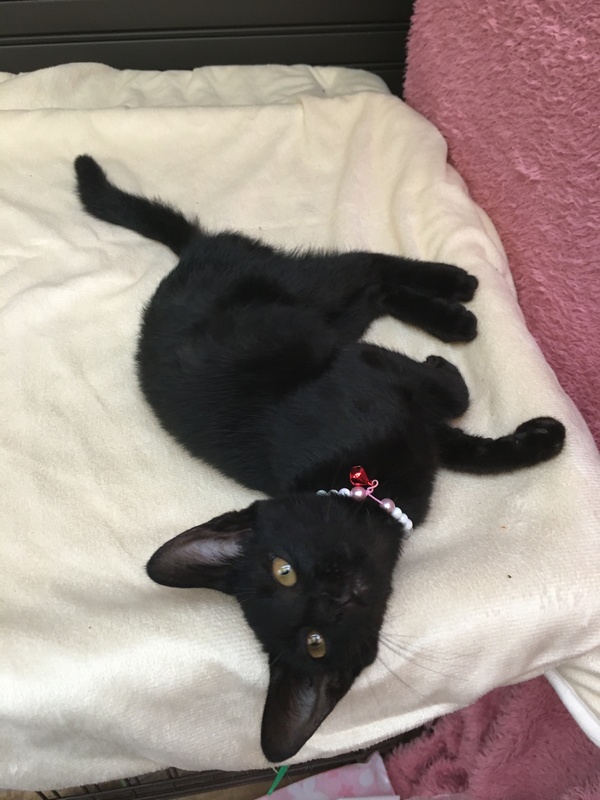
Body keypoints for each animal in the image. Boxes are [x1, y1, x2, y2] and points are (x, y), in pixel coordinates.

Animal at [74, 154, 565, 763]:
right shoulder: (402, 416)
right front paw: (543, 440)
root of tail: (185, 261)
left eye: (282, 570)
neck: (363, 493)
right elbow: (466, 444)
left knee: (367, 269)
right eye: (314, 642)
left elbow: (453, 404)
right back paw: (453, 310)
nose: (331, 595)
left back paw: (455, 296)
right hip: (326, 314)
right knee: (370, 289)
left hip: (308, 298)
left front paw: (519, 421)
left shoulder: (369, 370)